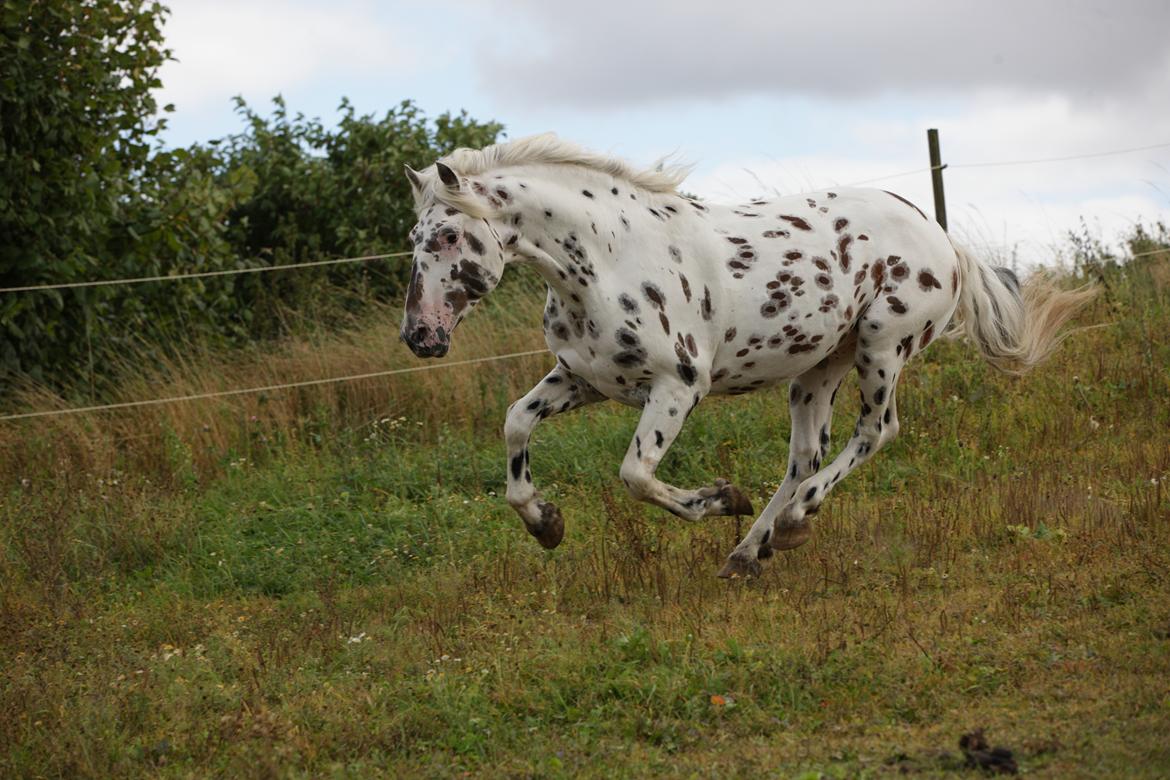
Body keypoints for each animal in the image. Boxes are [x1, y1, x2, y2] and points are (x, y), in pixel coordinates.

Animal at [402, 134, 1095, 577]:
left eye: (448, 235)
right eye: (414, 237)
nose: (420, 337)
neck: (608, 258)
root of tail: (943, 240)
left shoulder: (678, 387)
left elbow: (635, 475)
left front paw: (722, 499)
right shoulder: (584, 378)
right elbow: (516, 422)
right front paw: (544, 523)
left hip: (883, 347)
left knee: (876, 432)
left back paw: (792, 523)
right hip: (818, 367)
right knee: (804, 454)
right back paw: (749, 553)